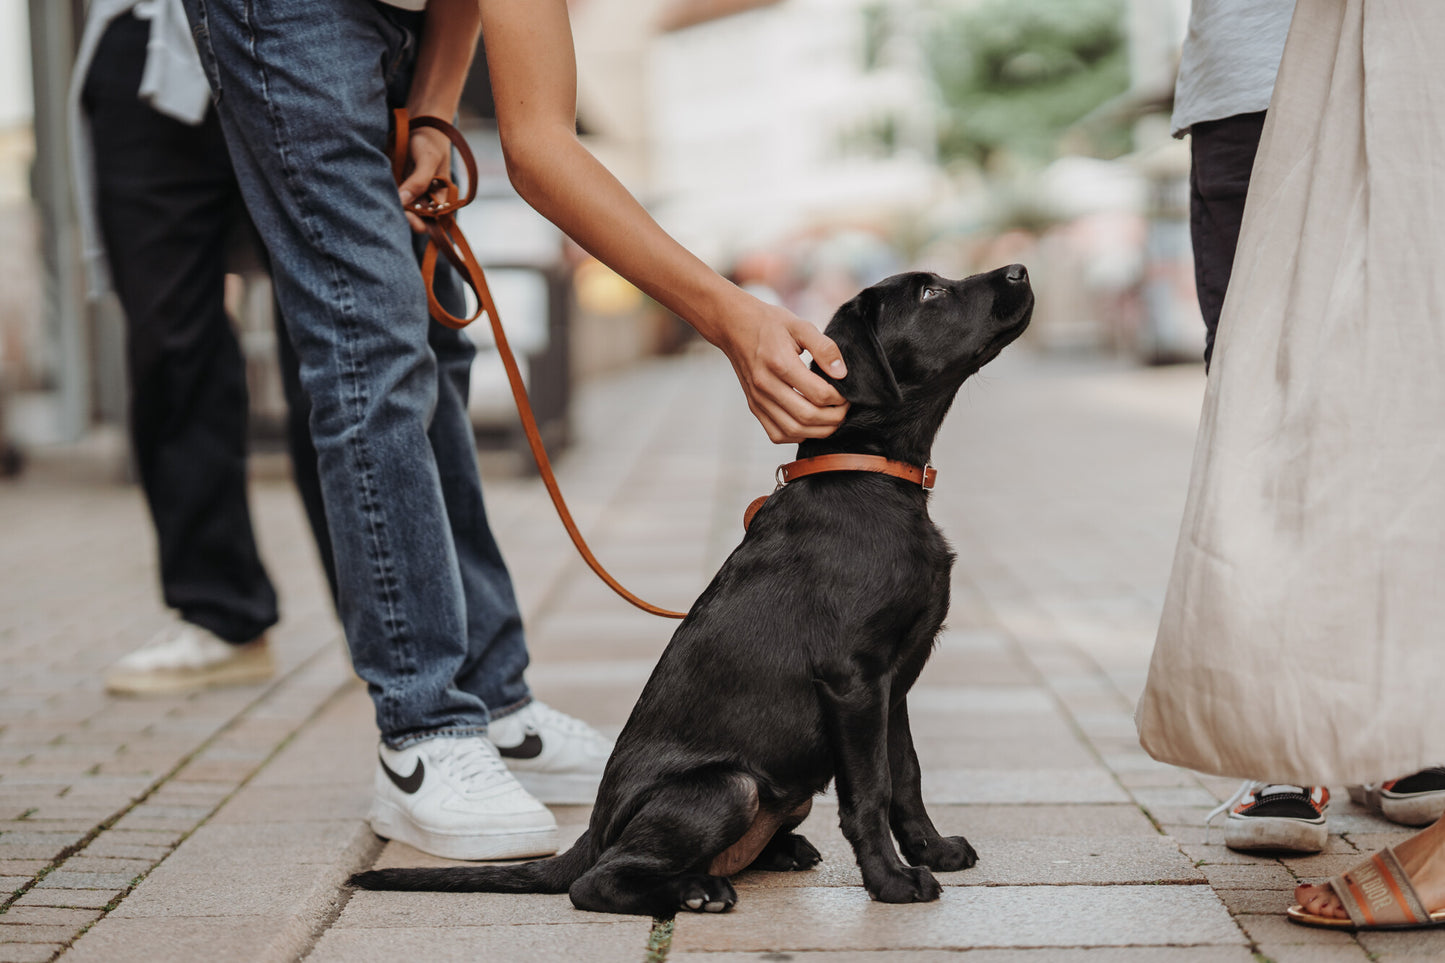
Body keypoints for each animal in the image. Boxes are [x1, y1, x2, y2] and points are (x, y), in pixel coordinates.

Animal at [348, 264, 1028, 913]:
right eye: (931, 293)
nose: (1019, 270)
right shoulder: (854, 678)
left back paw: (769, 856)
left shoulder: (894, 684)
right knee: (597, 883)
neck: (867, 472)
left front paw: (933, 851)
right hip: (729, 787)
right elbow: (870, 791)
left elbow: (906, 776)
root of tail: (593, 834)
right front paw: (891, 882)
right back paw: (697, 893)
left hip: (783, 792)